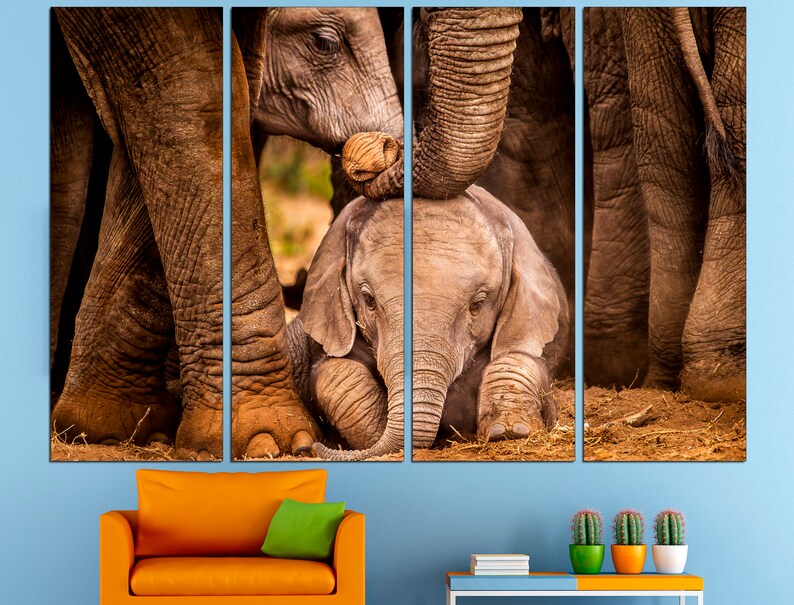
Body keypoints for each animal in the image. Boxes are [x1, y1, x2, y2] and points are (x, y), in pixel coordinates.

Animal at [288, 186, 566, 461]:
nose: (311, 449)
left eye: (477, 305)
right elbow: (337, 371)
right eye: (368, 300)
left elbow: (517, 359)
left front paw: (510, 431)